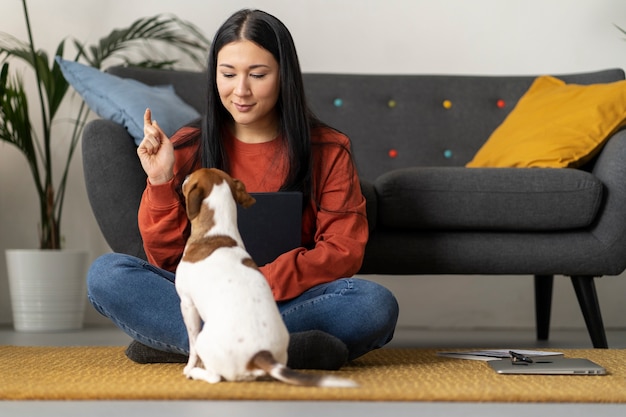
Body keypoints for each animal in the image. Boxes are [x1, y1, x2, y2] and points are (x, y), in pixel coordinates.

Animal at [173, 167, 356, 386]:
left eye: (191, 176)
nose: (183, 175)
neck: (216, 235)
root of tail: (261, 354)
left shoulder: (187, 304)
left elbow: (192, 348)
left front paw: (189, 367)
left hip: (204, 339)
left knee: (215, 376)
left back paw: (195, 372)